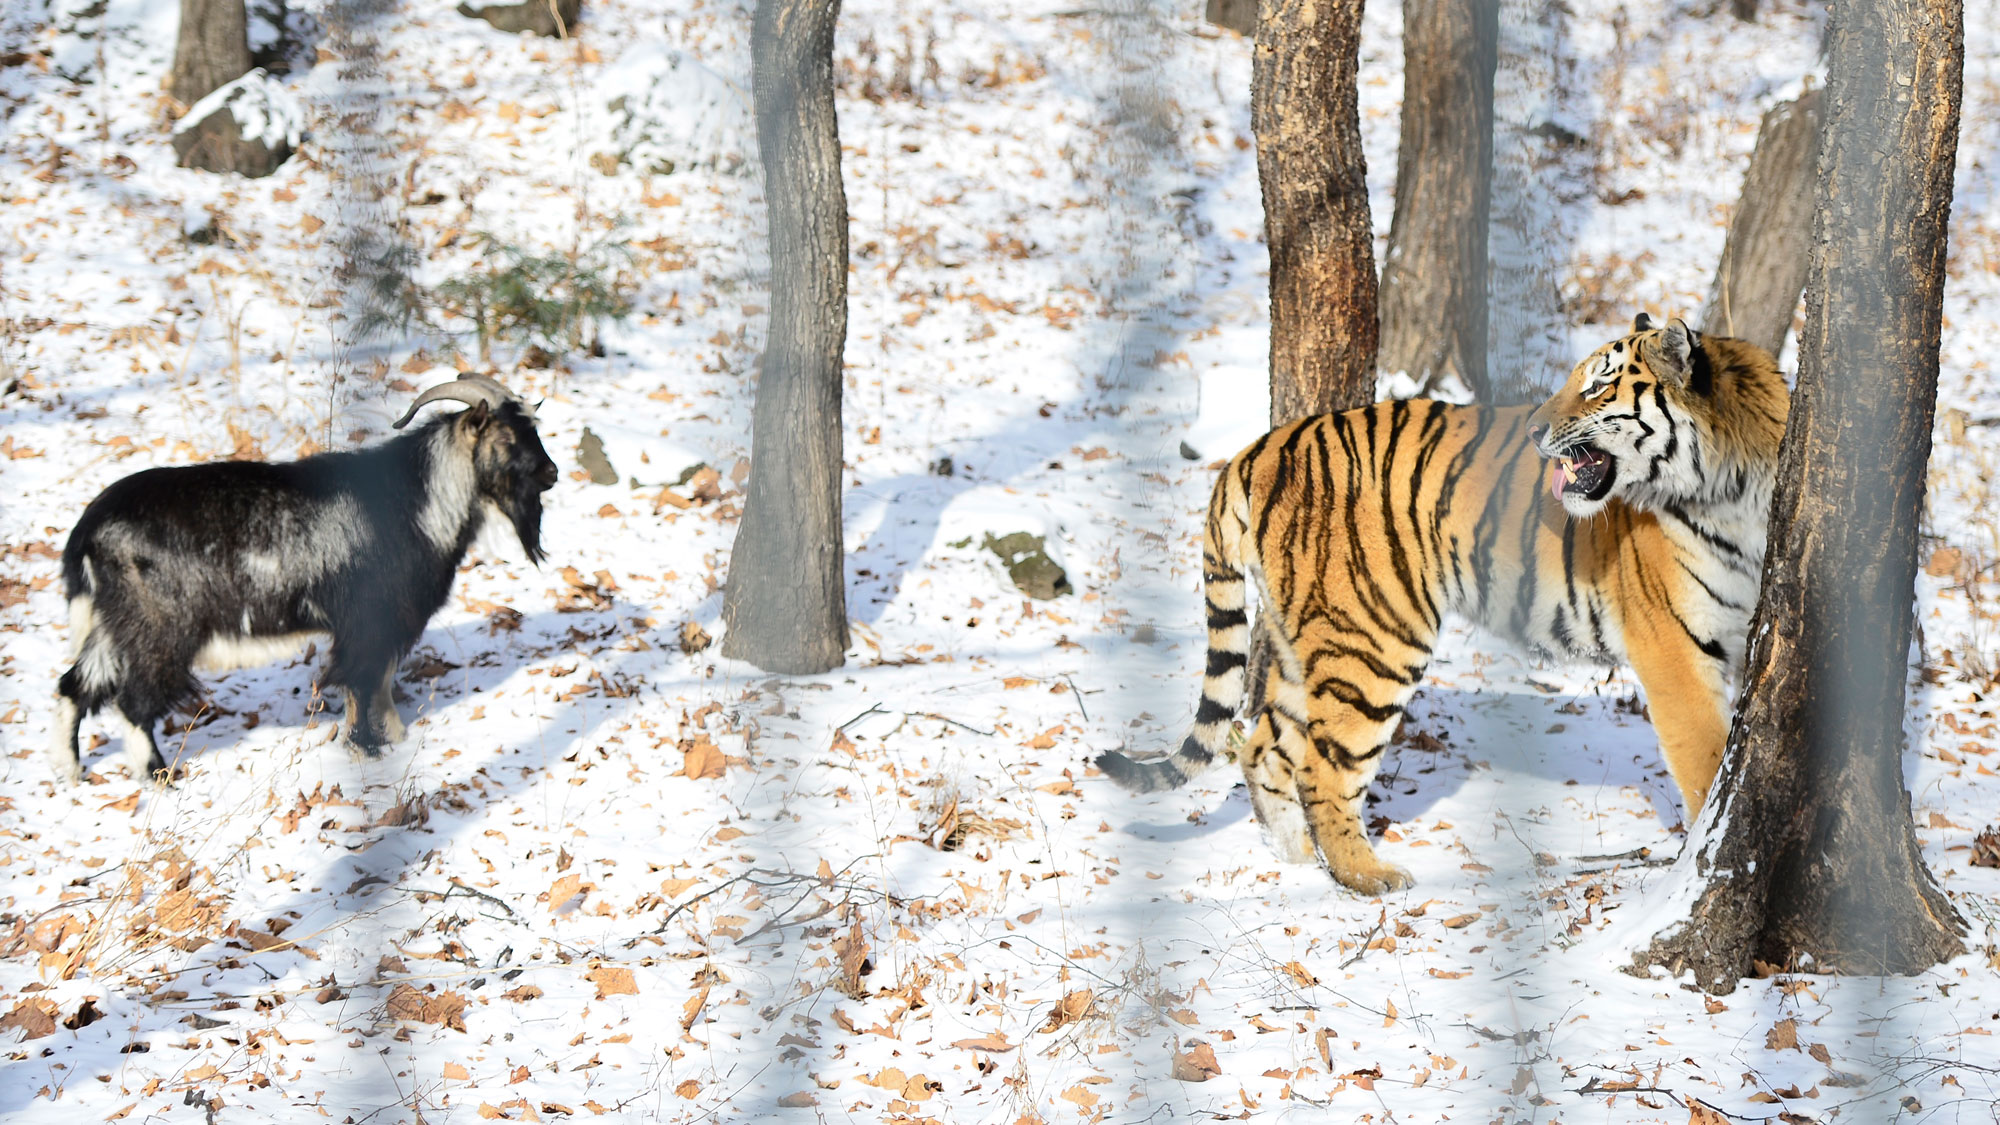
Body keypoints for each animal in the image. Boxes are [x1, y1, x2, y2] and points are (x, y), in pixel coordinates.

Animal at [1097, 314, 1790, 894]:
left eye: (1598, 386)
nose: (1535, 430)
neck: (1734, 486)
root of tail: (1256, 448)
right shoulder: (1674, 648)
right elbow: (1706, 766)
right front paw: (1696, 867)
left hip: (1309, 643)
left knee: (1263, 744)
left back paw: (1295, 865)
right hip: (1373, 643)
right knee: (1324, 768)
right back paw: (1367, 877)